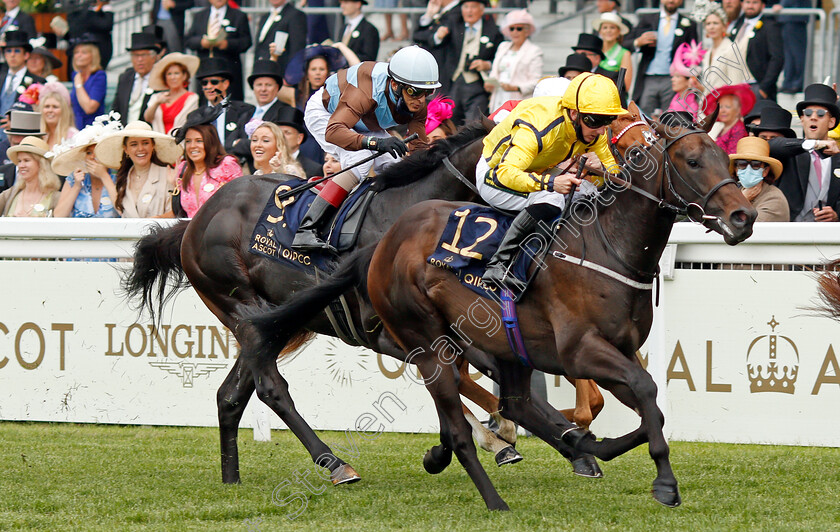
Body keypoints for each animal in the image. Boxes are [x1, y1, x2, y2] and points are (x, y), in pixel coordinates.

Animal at [246, 103, 756, 508]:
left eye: (725, 156)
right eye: (692, 160)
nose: (743, 216)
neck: (605, 246)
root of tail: (383, 242)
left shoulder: (620, 349)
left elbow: (650, 406)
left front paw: (595, 445)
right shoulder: (581, 351)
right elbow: (647, 392)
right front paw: (665, 483)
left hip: (505, 347)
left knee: (514, 403)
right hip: (426, 341)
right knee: (460, 415)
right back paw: (491, 494)